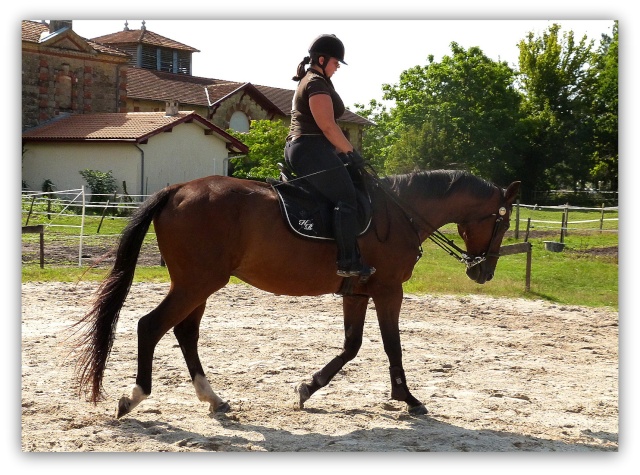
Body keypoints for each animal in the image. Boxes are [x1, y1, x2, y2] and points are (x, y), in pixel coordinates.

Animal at [74, 166, 520, 416]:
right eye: (502, 222)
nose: (484, 272)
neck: (399, 211)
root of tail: (177, 190)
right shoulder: (389, 290)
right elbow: (392, 346)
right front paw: (407, 398)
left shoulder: (356, 292)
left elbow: (352, 345)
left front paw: (309, 387)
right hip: (197, 282)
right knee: (150, 327)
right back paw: (135, 397)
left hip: (197, 285)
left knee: (185, 332)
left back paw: (213, 398)